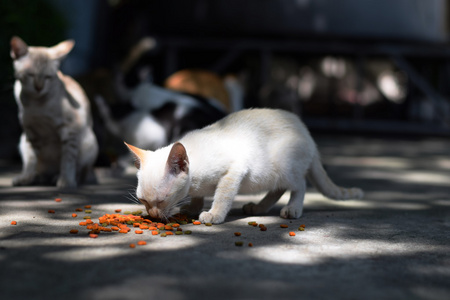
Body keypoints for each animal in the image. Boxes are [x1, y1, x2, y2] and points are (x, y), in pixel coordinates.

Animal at [10, 36, 97, 189]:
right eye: (30, 75)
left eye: (48, 77)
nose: (39, 88)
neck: (37, 105)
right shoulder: (30, 131)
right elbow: (31, 159)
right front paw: (26, 177)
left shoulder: (70, 129)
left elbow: (68, 159)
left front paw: (66, 180)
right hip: (22, 140)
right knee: (40, 171)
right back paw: (35, 178)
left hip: (89, 143)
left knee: (81, 172)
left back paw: (60, 177)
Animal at [125, 108, 364, 223]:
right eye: (143, 201)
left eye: (161, 200)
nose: (153, 215)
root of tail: (307, 133)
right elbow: (198, 197)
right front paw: (192, 208)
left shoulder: (234, 171)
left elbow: (222, 196)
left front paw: (213, 215)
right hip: (273, 175)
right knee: (278, 189)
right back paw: (257, 208)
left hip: (286, 168)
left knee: (299, 186)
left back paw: (292, 209)